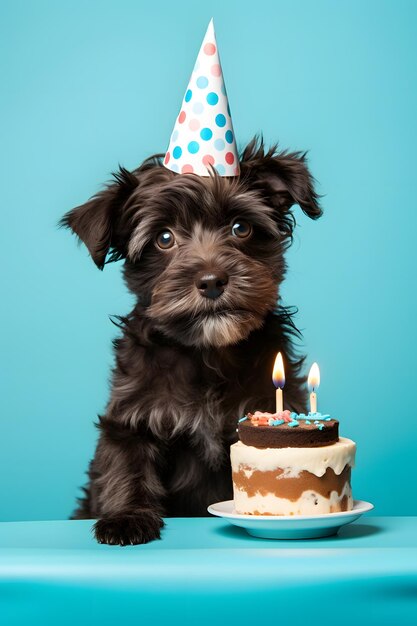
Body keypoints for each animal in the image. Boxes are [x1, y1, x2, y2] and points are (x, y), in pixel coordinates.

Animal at [61, 136, 322, 540]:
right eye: (164, 238)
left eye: (240, 228)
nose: (212, 281)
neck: (206, 351)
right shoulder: (131, 421)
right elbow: (127, 468)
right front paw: (127, 518)